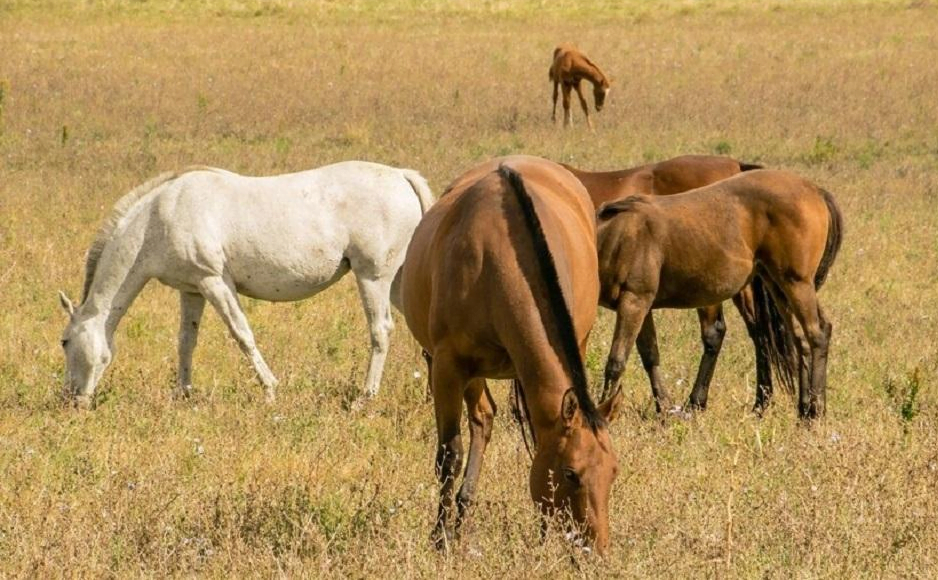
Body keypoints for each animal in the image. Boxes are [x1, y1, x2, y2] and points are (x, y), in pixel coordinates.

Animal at [58, 161, 434, 409]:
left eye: (64, 341)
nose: (72, 400)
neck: (158, 217)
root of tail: (401, 176)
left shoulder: (214, 281)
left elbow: (242, 334)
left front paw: (270, 390)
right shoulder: (191, 290)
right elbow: (186, 341)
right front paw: (183, 394)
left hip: (373, 277)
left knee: (380, 331)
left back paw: (364, 398)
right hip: (397, 282)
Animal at [401, 155, 621, 554]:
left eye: (614, 471)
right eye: (571, 473)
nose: (595, 550)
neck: (497, 256)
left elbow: (536, 439)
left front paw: (543, 532)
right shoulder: (449, 365)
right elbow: (449, 454)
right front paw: (439, 540)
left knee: (488, 418)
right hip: (462, 368)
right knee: (481, 419)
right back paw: (457, 522)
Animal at [596, 169, 843, 420]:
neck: (613, 236)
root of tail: (815, 190)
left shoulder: (634, 301)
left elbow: (616, 361)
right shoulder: (642, 306)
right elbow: (650, 356)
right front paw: (664, 408)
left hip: (796, 283)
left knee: (816, 334)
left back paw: (814, 412)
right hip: (779, 286)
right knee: (801, 338)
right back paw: (802, 409)